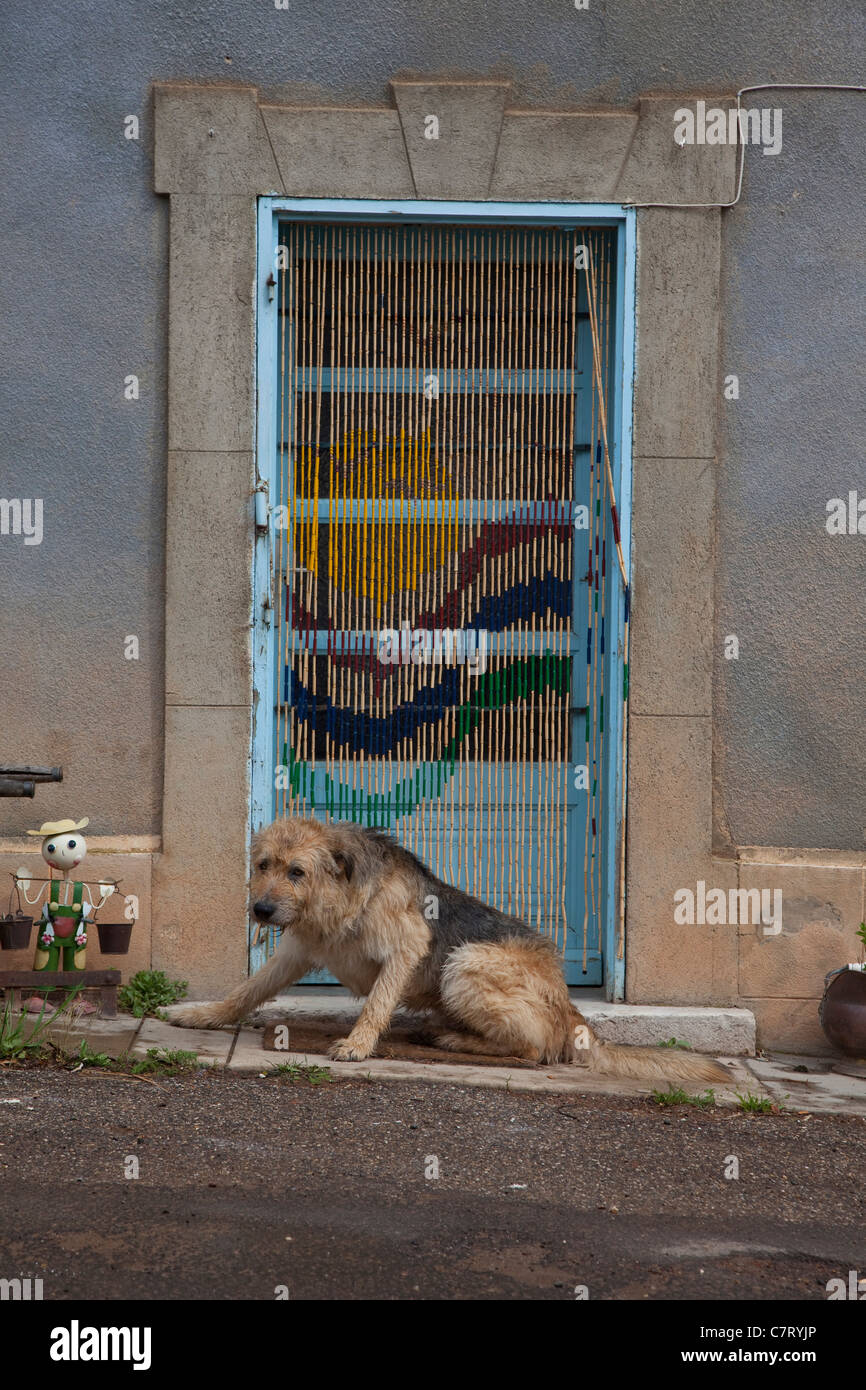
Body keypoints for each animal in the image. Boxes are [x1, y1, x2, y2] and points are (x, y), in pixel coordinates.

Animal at [169, 817, 733, 1078]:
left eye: (297, 872)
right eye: (263, 864)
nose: (261, 911)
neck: (343, 895)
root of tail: (573, 1011)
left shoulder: (406, 948)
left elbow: (377, 1003)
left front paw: (357, 1045)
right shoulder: (295, 953)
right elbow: (245, 991)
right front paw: (199, 1015)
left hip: (464, 964)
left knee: (532, 1049)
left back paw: (451, 1039)